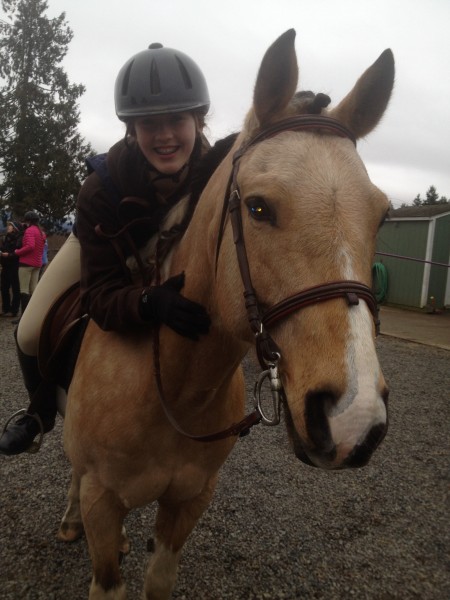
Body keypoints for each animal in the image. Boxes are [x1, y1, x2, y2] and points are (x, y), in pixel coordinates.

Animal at [58, 29, 396, 600]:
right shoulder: (102, 502)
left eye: (382, 215)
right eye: (258, 207)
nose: (354, 417)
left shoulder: (191, 500)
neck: (172, 388)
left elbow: (158, 580)